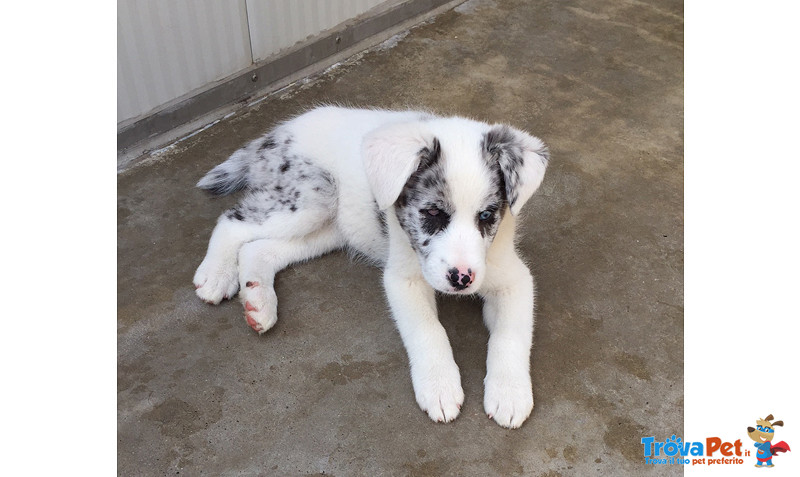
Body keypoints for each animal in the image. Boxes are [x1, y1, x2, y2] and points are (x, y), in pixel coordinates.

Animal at [192, 107, 552, 428]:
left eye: (487, 216)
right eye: (432, 213)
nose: (461, 279)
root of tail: (278, 133)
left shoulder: (513, 278)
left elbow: (511, 334)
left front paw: (510, 393)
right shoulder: (403, 278)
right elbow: (428, 330)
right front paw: (439, 386)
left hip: (331, 226)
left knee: (259, 248)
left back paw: (258, 301)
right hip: (310, 197)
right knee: (232, 221)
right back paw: (215, 276)